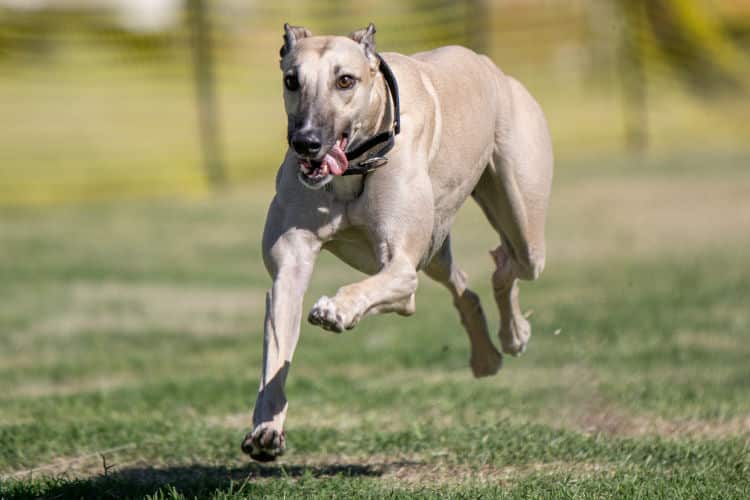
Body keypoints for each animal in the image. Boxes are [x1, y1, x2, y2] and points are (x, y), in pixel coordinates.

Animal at [244, 23, 556, 460]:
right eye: (292, 80)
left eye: (345, 80)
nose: (306, 142)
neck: (355, 167)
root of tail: (494, 70)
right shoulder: (289, 266)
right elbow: (277, 347)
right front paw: (267, 430)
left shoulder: (401, 265)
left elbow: (376, 286)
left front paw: (336, 309)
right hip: (436, 248)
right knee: (466, 287)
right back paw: (486, 357)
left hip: (521, 220)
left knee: (510, 261)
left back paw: (515, 335)